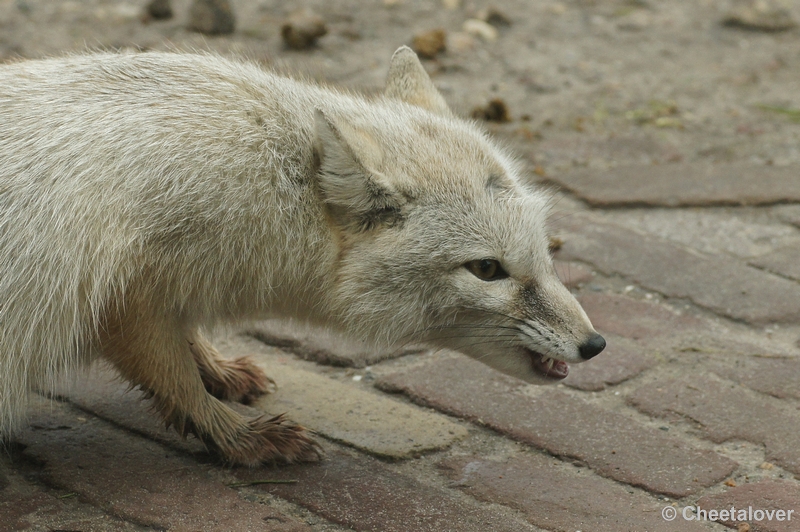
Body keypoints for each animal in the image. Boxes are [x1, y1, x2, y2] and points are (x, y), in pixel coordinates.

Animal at [0, 47, 604, 464]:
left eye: (545, 252)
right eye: (486, 270)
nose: (595, 345)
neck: (267, 183)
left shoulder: (155, 292)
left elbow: (185, 346)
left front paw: (217, 370)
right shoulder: (124, 303)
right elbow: (175, 381)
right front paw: (236, 435)